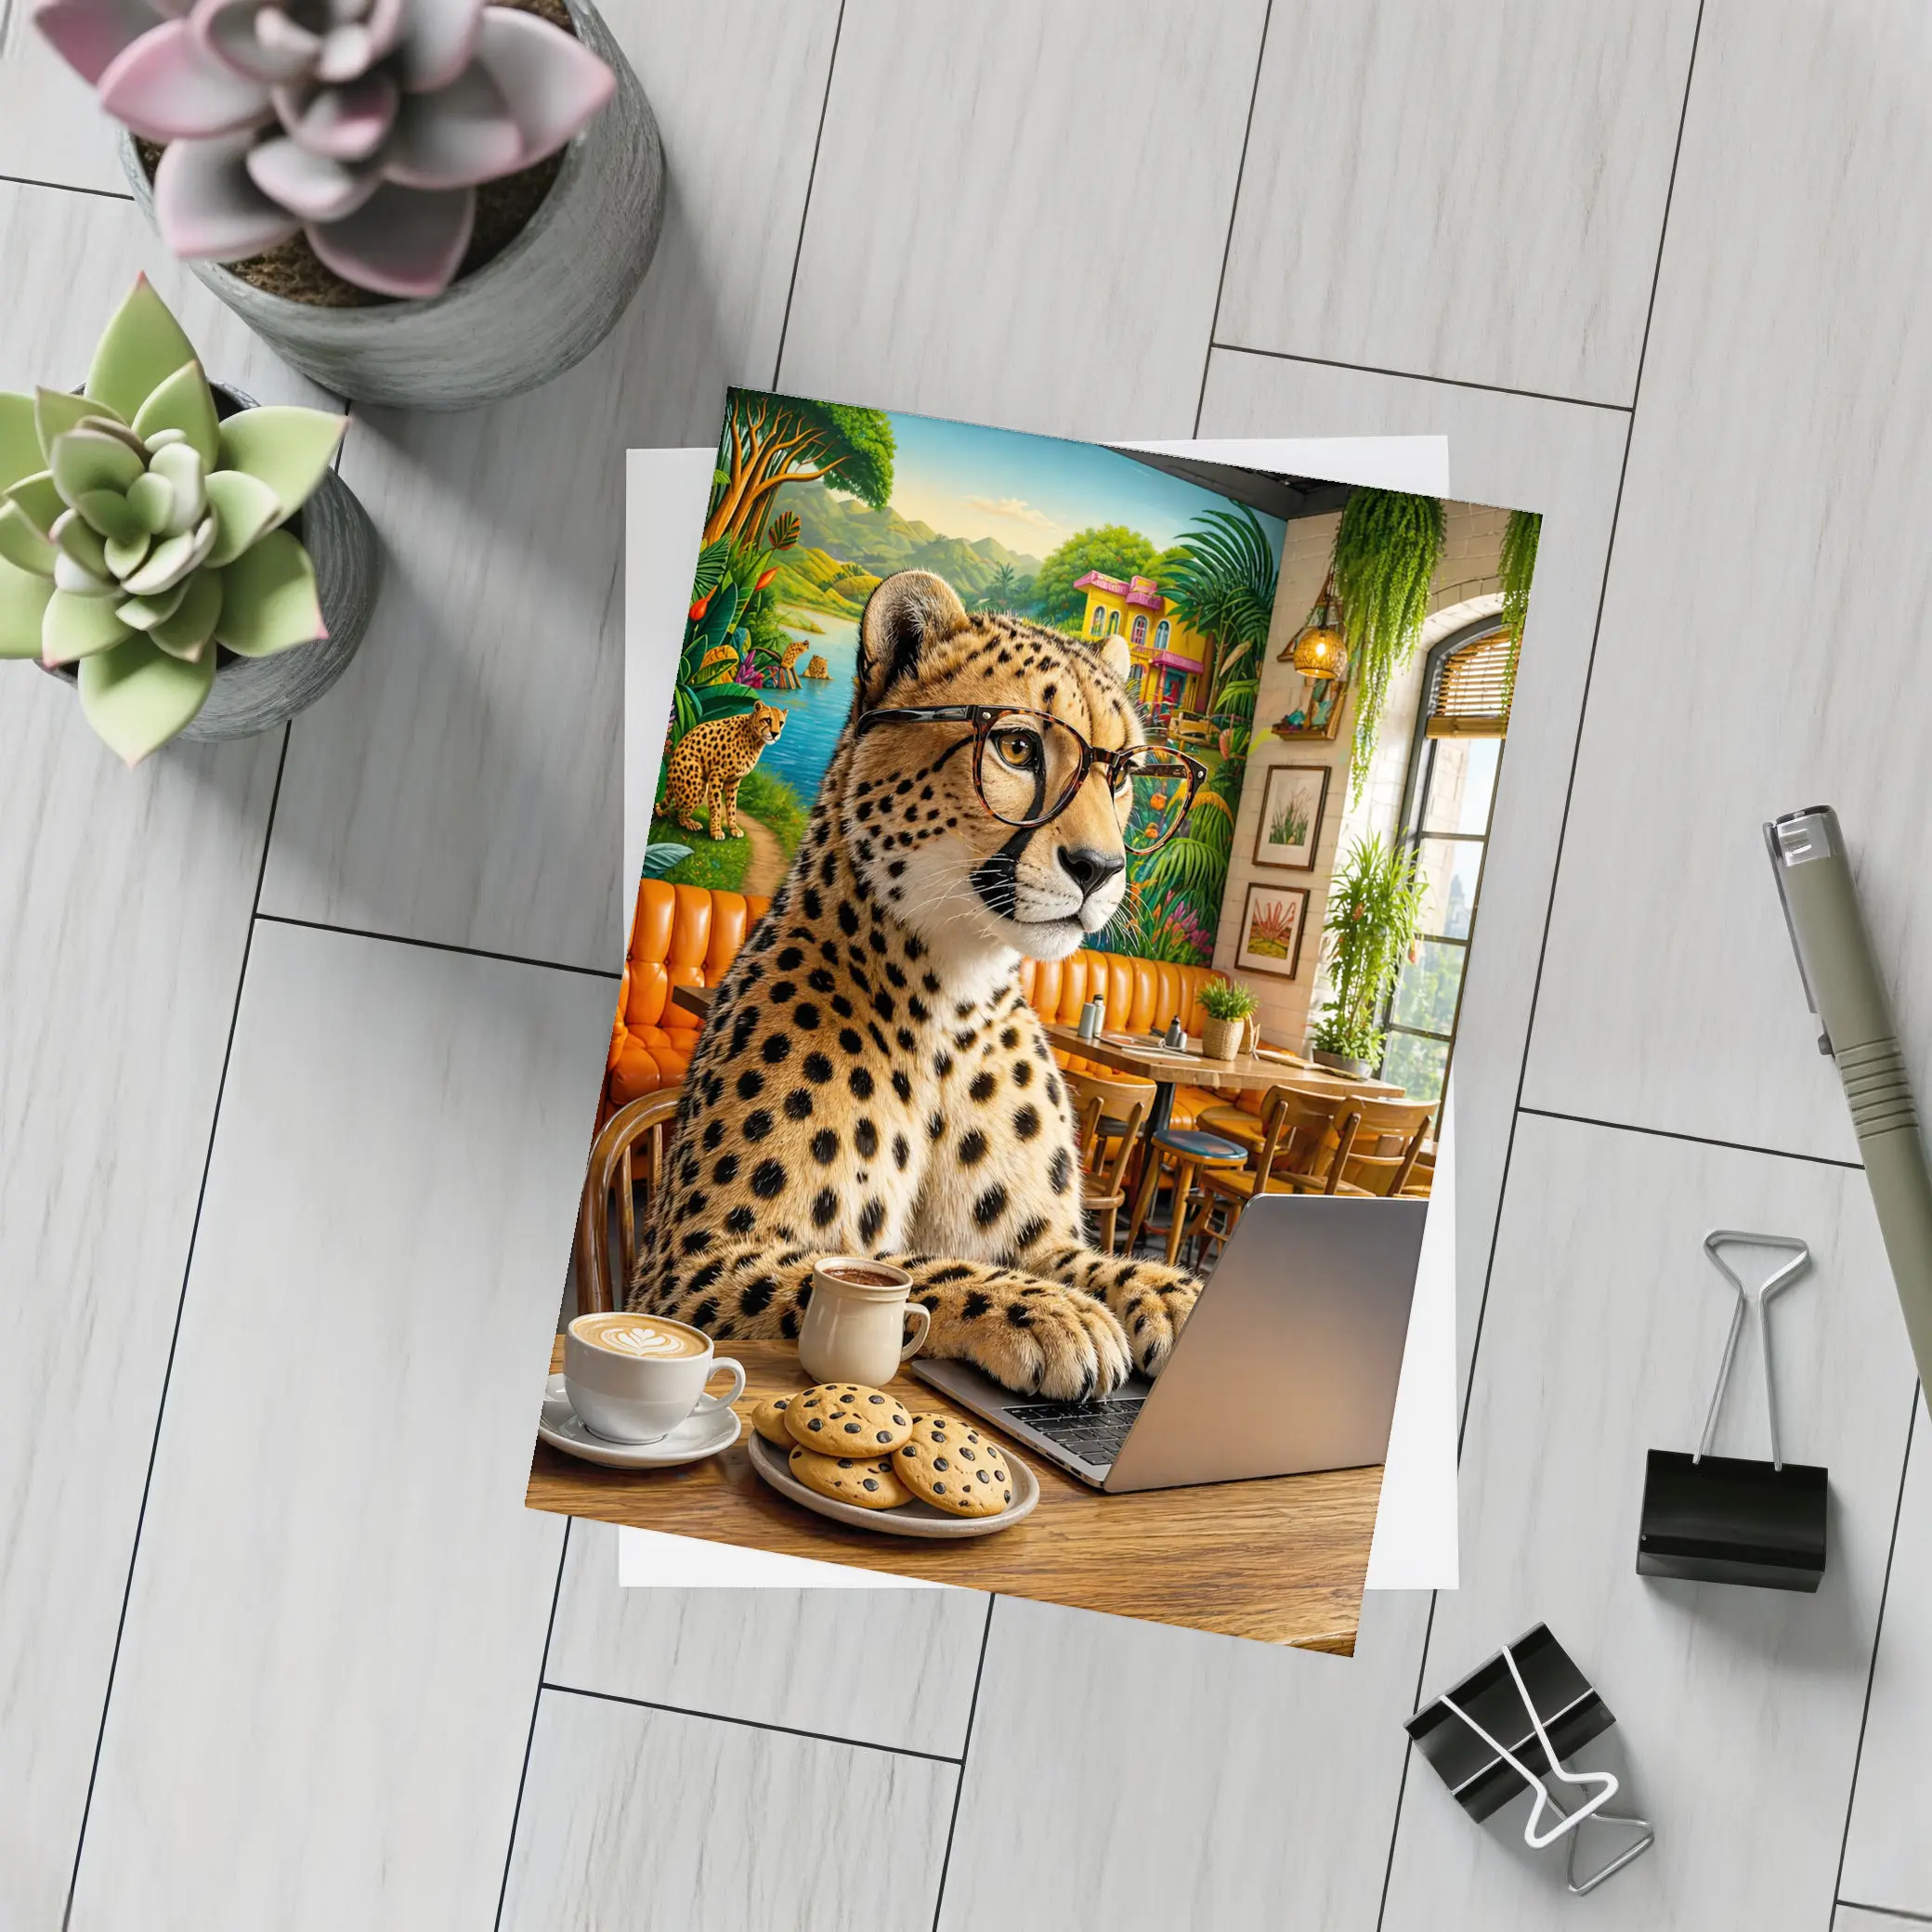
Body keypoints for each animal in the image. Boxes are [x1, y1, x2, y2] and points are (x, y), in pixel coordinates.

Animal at [664, 698, 787, 840]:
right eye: (767, 720)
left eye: (781, 723)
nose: (775, 734)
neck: (754, 738)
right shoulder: (717, 775)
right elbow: (716, 804)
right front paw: (716, 831)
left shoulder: (734, 780)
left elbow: (732, 806)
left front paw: (734, 829)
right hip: (697, 786)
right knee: (678, 810)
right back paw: (689, 823)